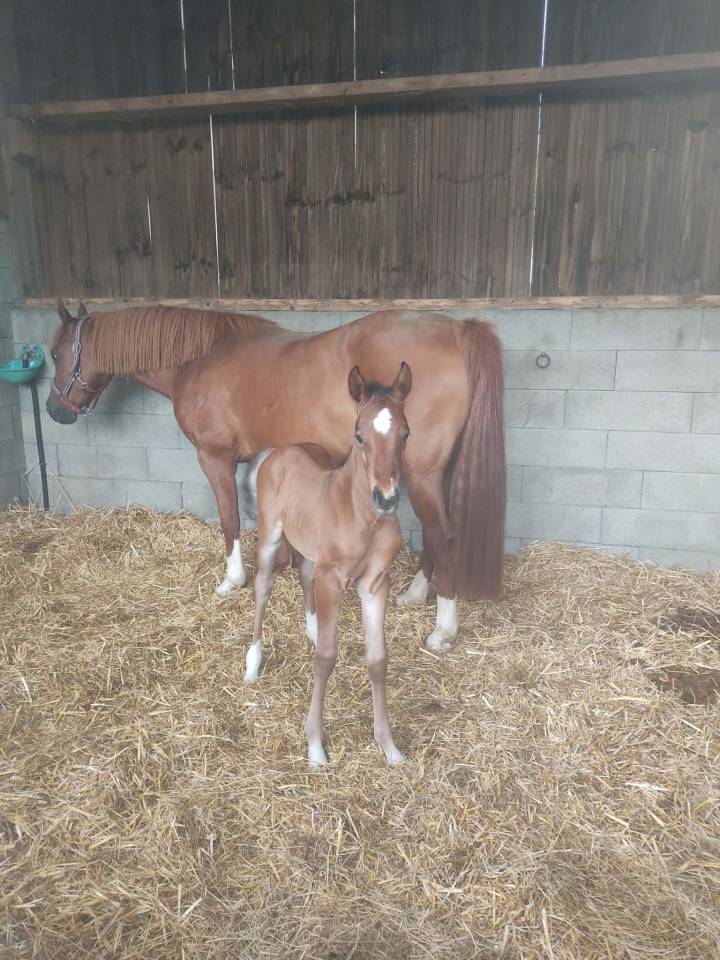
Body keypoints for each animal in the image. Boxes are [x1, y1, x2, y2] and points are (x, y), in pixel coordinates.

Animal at [46, 301, 506, 652]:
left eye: (55, 354)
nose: (54, 411)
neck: (198, 359)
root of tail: (456, 328)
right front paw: (283, 565)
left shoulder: (214, 457)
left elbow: (230, 518)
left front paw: (232, 580)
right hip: (430, 473)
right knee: (434, 533)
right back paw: (414, 594)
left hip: (420, 473)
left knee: (443, 534)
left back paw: (443, 630)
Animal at [243, 363, 412, 766]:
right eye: (359, 435)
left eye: (405, 434)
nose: (386, 499)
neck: (361, 517)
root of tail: (280, 450)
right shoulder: (332, 578)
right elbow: (326, 657)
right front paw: (315, 745)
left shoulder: (375, 582)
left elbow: (378, 659)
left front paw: (389, 746)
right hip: (271, 534)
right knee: (262, 586)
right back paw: (252, 662)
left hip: (310, 550)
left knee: (304, 573)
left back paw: (311, 627)